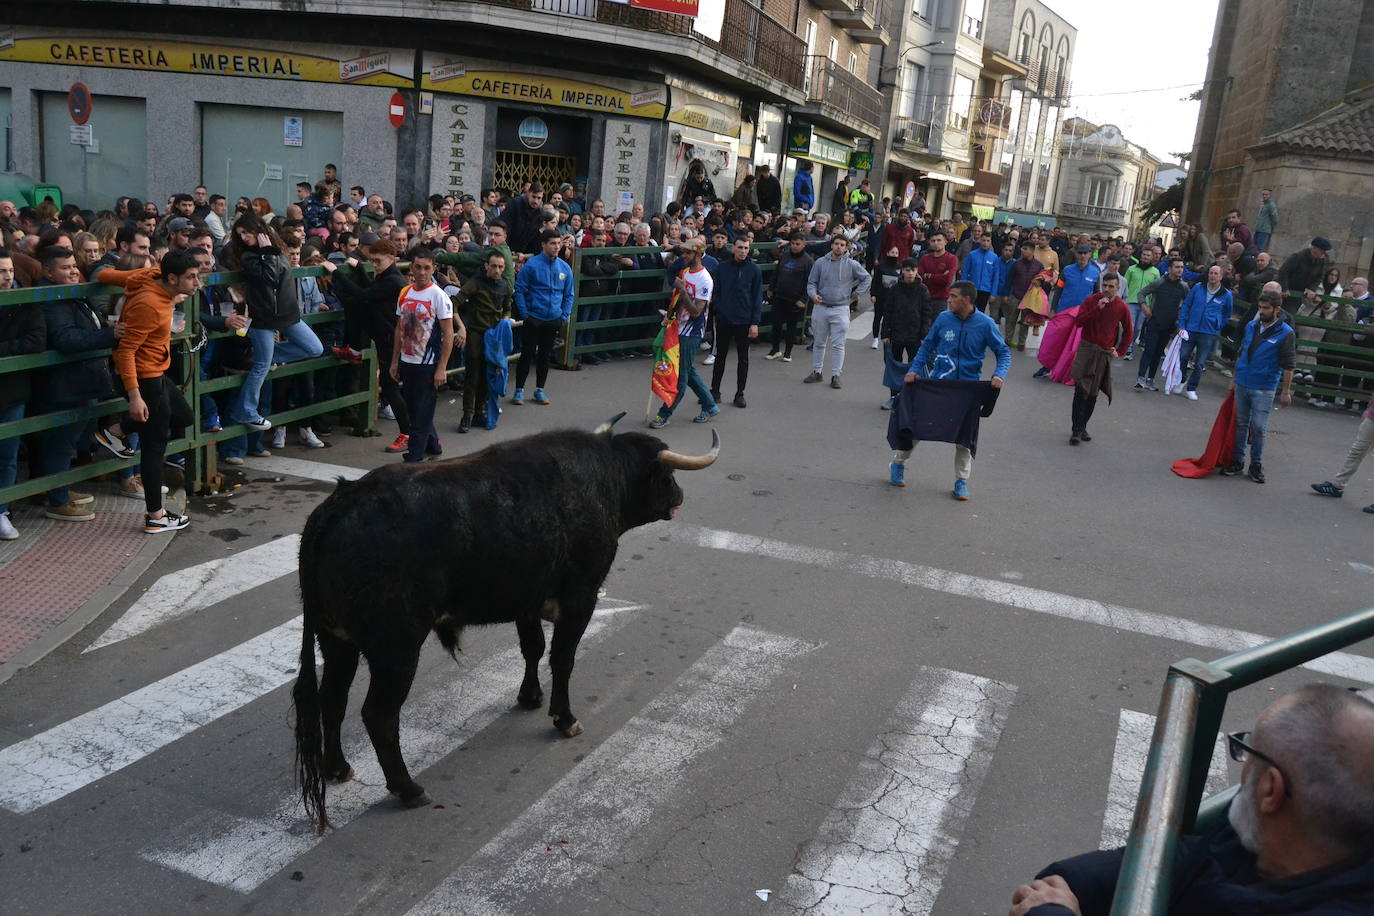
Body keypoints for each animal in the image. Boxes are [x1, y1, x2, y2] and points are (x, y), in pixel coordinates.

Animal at [289, 417, 719, 829]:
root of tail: (339, 505)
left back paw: (338, 767)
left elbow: (533, 648)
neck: (603, 477)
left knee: (332, 698)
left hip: (336, 640)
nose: (680, 496)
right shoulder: (580, 598)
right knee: (378, 715)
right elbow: (562, 658)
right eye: (666, 475)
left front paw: (529, 697)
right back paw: (408, 788)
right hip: (397, 649)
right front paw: (564, 718)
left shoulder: (526, 601)